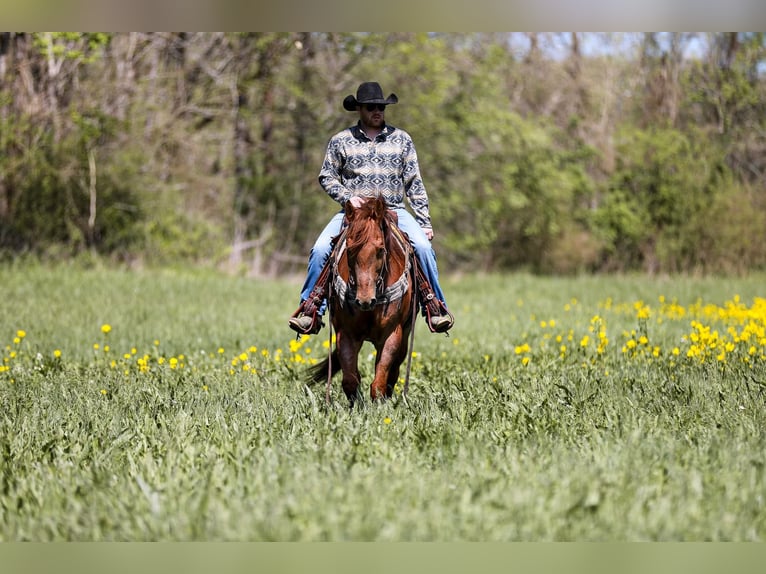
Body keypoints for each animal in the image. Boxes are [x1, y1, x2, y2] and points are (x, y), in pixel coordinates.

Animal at [308, 196, 416, 408]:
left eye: (381, 250)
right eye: (349, 250)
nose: (364, 300)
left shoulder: (392, 334)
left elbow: (380, 382)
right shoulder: (346, 333)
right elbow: (350, 380)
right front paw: (356, 407)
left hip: (405, 335)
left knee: (393, 372)